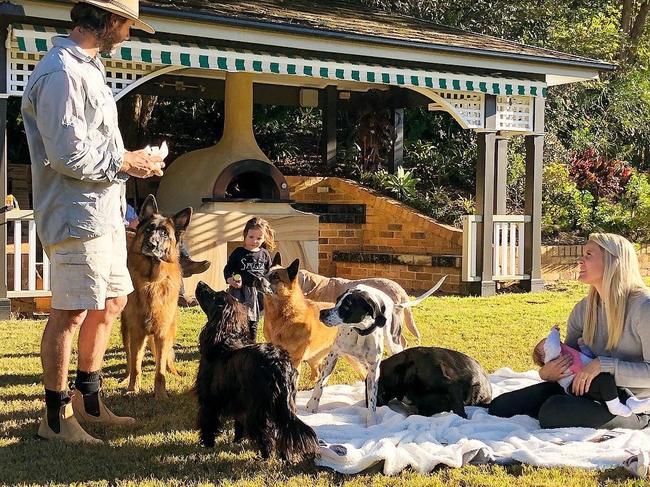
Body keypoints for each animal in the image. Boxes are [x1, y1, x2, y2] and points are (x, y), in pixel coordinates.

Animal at [194, 280, 318, 464]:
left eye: (214, 295)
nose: (201, 283)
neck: (226, 337)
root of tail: (279, 364)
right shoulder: (239, 402)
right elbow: (238, 423)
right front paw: (237, 441)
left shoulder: (209, 398)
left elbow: (208, 423)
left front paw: (207, 444)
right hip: (283, 405)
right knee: (284, 434)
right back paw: (286, 459)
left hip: (259, 410)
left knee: (266, 435)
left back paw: (263, 458)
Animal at [306, 278, 446, 428]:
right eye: (337, 300)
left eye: (347, 306)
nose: (322, 313)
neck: (360, 332)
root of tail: (393, 303)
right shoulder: (333, 356)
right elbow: (320, 383)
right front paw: (312, 406)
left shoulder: (374, 371)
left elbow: (372, 399)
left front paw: (371, 420)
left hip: (394, 344)